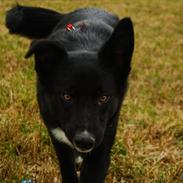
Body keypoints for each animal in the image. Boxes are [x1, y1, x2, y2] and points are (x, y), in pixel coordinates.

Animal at [5, 5, 134, 182]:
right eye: (67, 96)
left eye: (103, 97)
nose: (84, 142)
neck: (84, 46)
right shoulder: (57, 137)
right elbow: (68, 170)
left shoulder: (102, 145)